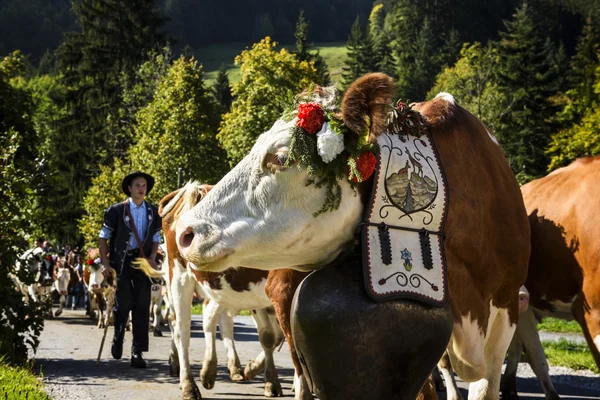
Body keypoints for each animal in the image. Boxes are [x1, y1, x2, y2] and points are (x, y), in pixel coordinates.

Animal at [173, 73, 528, 398]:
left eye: (282, 157)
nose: (186, 232)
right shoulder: (283, 292)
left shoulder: (506, 310)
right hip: (180, 280)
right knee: (183, 329)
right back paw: (193, 383)